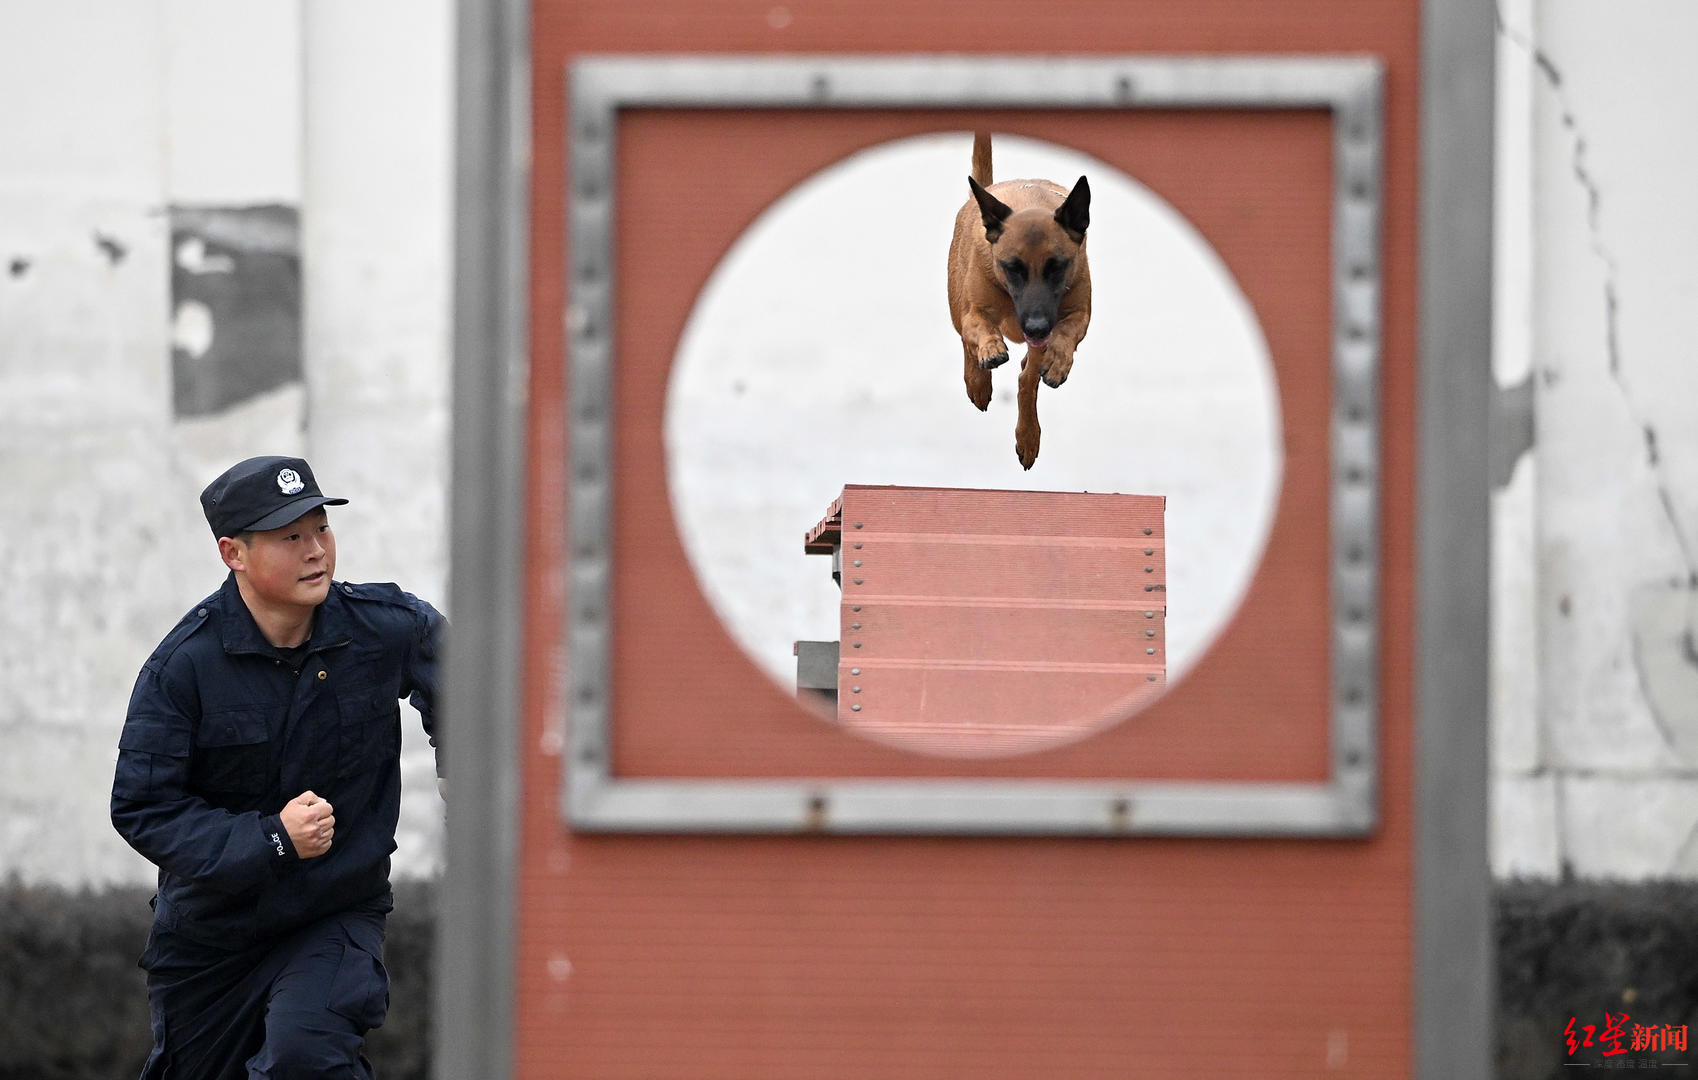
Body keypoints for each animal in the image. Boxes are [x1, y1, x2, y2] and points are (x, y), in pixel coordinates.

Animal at [950, 130, 1093, 468]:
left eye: (1058, 266)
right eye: (1012, 267)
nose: (1037, 327)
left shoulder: (1078, 312)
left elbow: (1064, 335)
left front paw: (1058, 361)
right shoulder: (975, 311)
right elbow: (979, 329)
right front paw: (989, 353)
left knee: (1027, 379)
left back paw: (1028, 432)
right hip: (956, 303)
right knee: (965, 340)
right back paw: (978, 381)